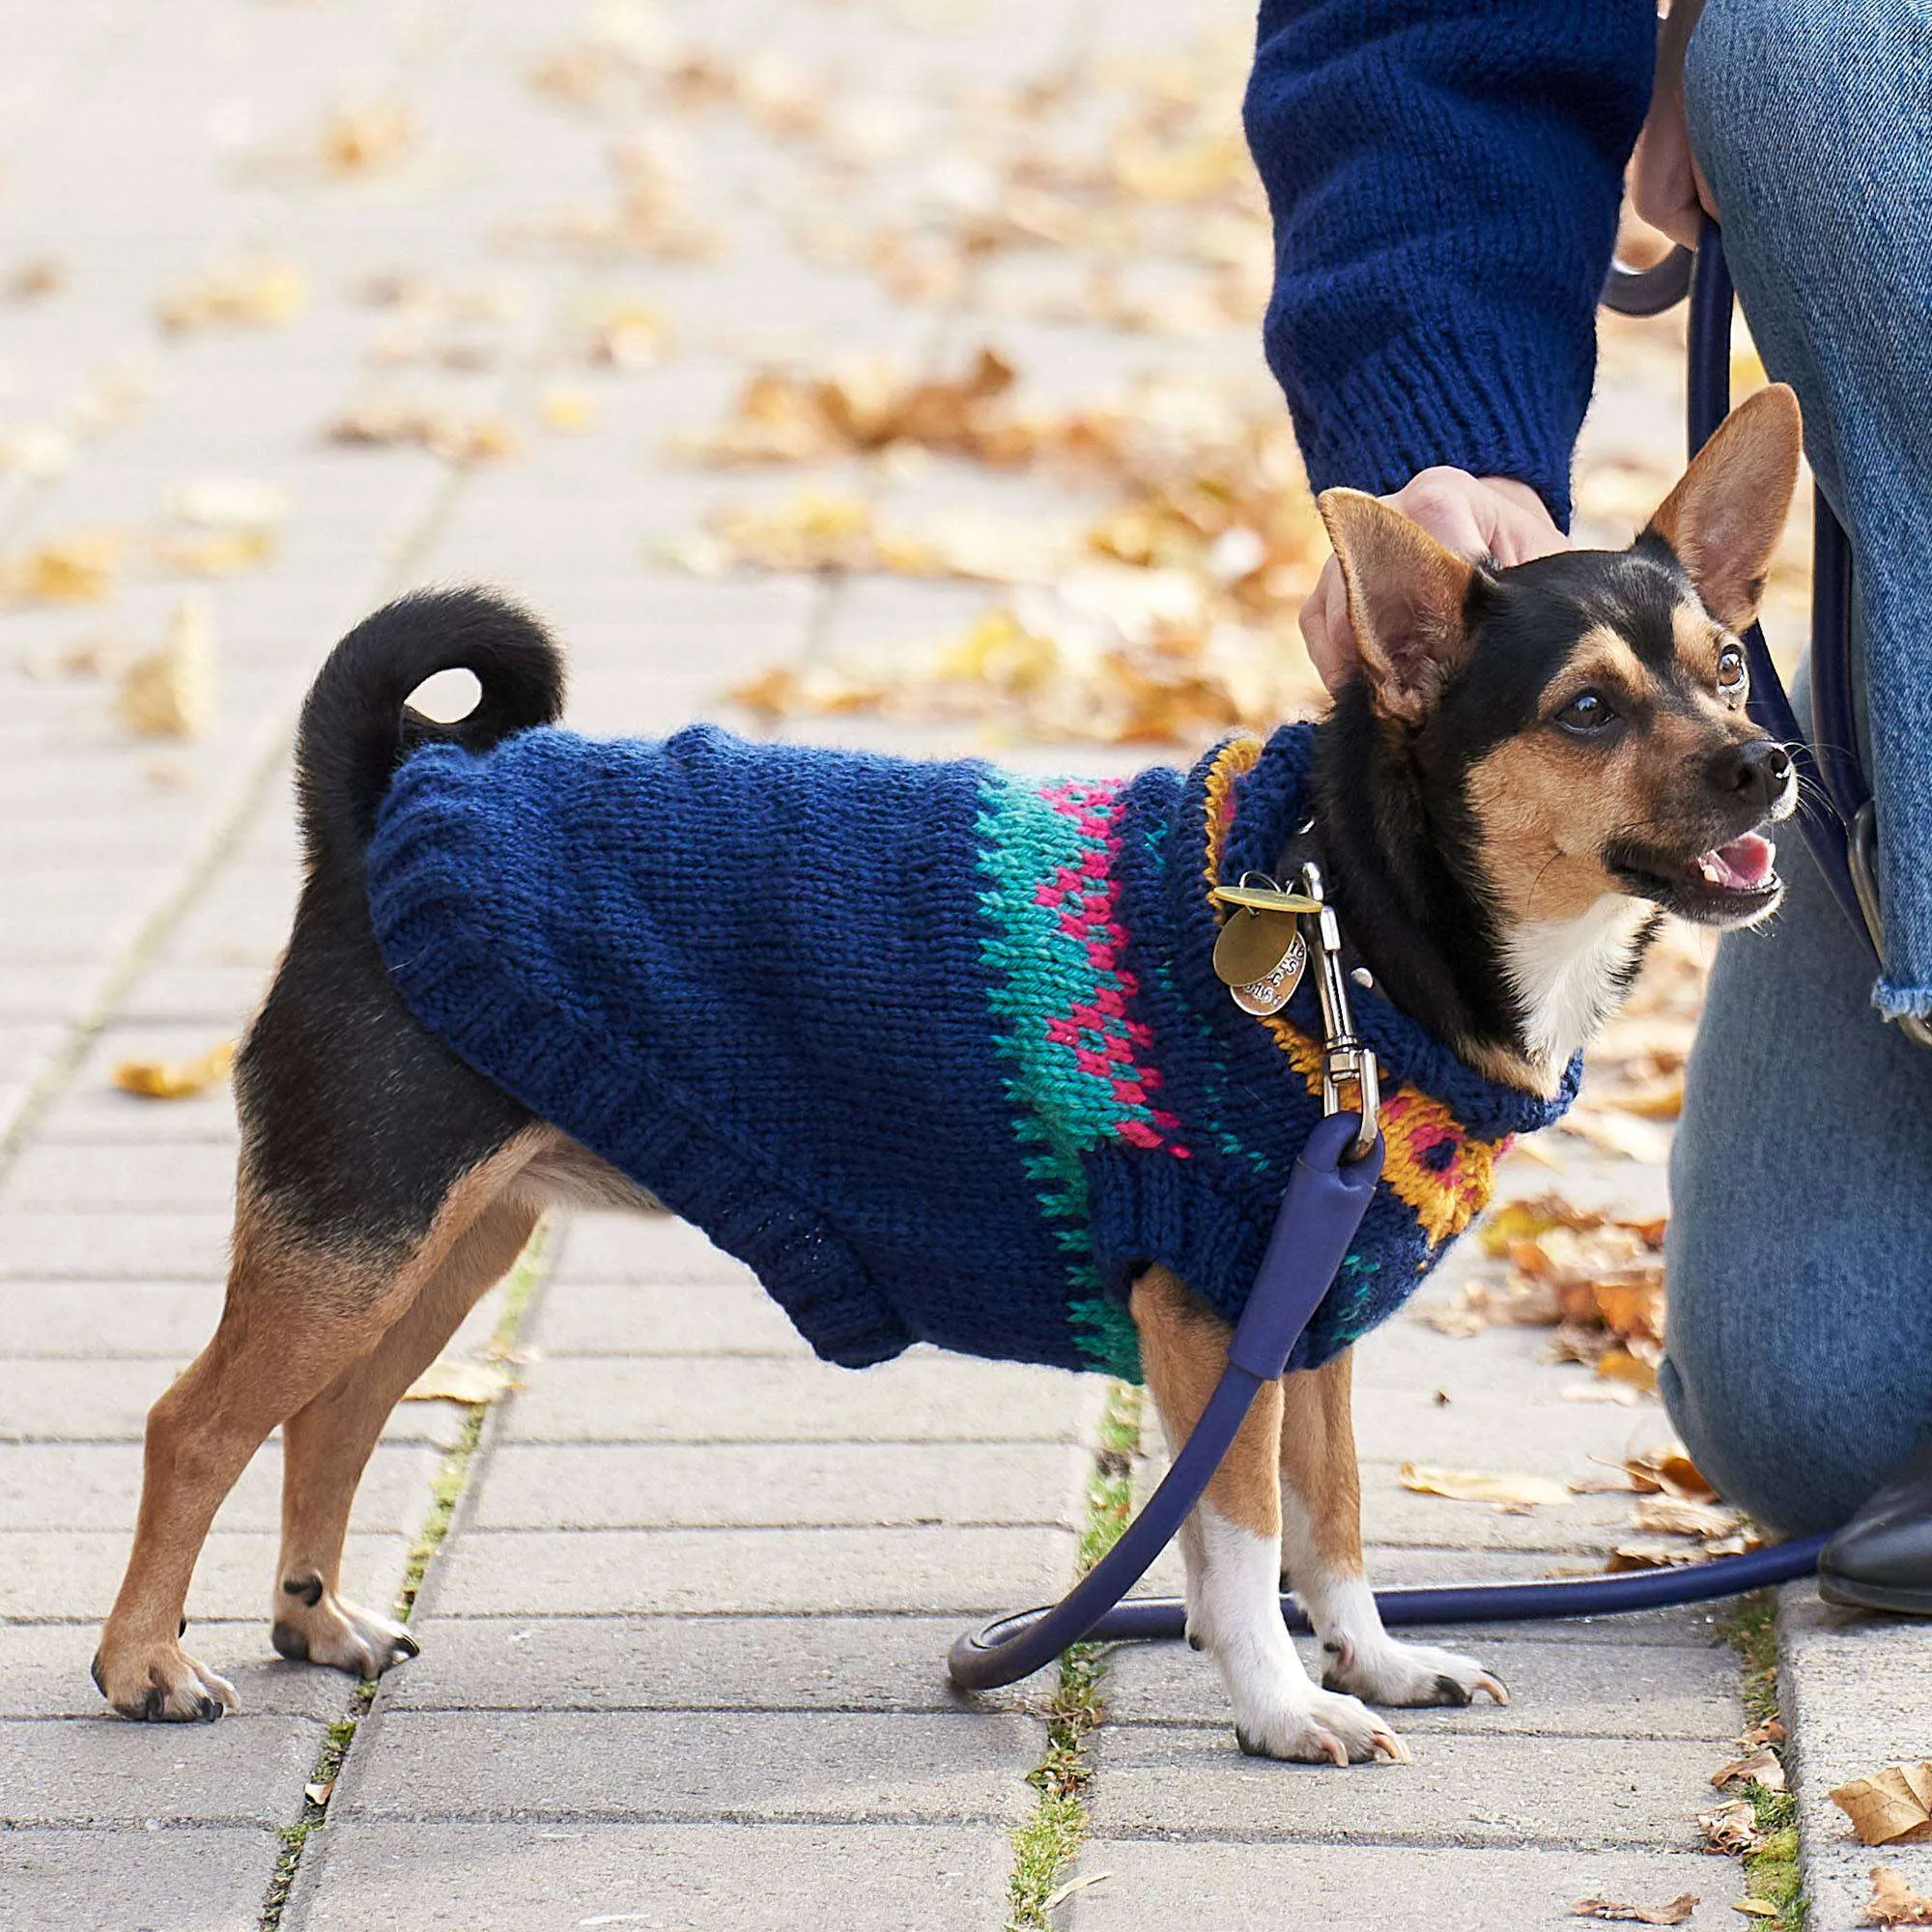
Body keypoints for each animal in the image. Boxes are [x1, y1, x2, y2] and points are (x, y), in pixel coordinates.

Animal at [98, 381, 1801, 1770]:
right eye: (1587, 710)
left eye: (1728, 663)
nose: (1768, 760)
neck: (1357, 935)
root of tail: (382, 801)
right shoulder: (1215, 1311)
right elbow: (1243, 1534)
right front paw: (1279, 1706)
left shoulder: (1302, 1321)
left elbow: (1332, 1521)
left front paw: (1375, 1663)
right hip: (356, 1233)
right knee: (194, 1425)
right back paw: (145, 1665)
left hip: (447, 1244)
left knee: (330, 1421)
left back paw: (318, 1620)